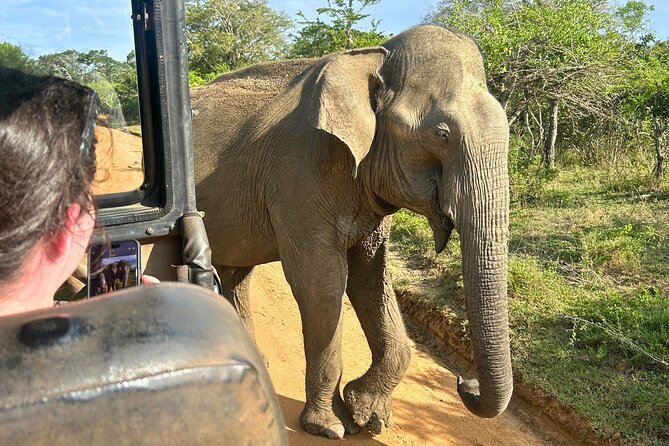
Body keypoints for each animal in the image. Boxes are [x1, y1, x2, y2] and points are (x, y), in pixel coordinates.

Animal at [191, 24, 512, 439]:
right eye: (441, 134)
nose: (463, 382)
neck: (372, 58)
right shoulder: (299, 173)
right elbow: (321, 283)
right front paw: (329, 427)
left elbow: (370, 277)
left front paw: (369, 417)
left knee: (235, 273)